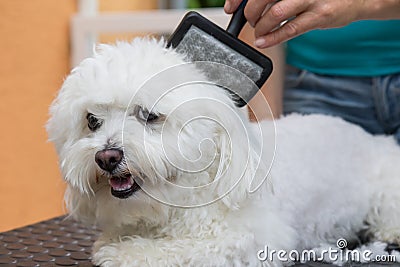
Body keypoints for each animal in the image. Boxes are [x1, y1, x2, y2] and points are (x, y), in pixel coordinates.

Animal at [47, 38, 400, 267]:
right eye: (92, 120)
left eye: (148, 115)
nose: (107, 157)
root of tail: (371, 136)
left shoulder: (251, 239)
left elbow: (183, 249)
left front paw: (127, 254)